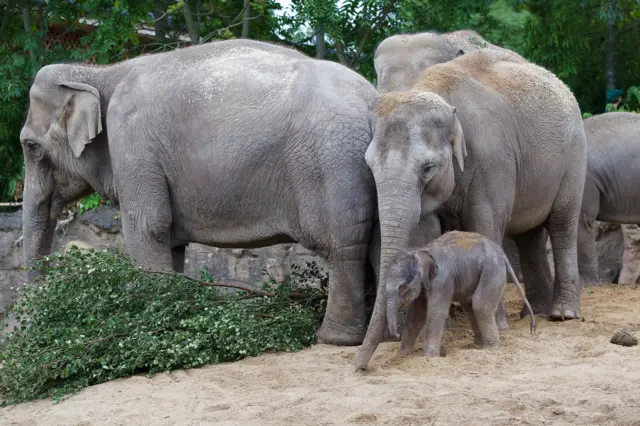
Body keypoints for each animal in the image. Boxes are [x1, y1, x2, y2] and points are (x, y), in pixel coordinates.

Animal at [18, 38, 380, 348]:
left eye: (31, 147)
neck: (100, 74)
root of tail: (372, 98)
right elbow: (170, 241)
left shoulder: (133, 142)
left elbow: (148, 228)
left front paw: (151, 330)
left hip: (331, 163)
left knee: (342, 245)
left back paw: (332, 339)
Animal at [384, 231, 536, 358]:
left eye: (403, 288)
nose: (396, 334)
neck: (420, 250)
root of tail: (502, 253)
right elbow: (416, 314)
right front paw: (400, 356)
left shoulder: (442, 280)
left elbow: (436, 312)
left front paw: (429, 357)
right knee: (470, 306)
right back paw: (479, 346)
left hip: (493, 270)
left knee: (480, 305)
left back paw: (491, 348)